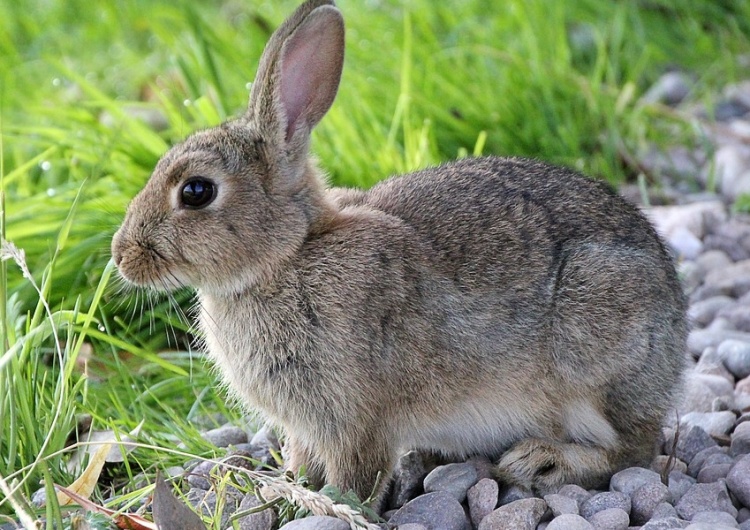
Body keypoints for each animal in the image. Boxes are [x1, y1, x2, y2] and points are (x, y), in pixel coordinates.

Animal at [111, 0, 688, 504]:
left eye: (196, 191)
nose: (121, 255)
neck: (290, 255)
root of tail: (677, 327)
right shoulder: (307, 425)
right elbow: (303, 458)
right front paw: (289, 486)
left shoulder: (356, 416)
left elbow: (357, 473)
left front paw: (328, 504)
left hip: (597, 353)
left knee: (632, 450)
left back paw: (542, 461)